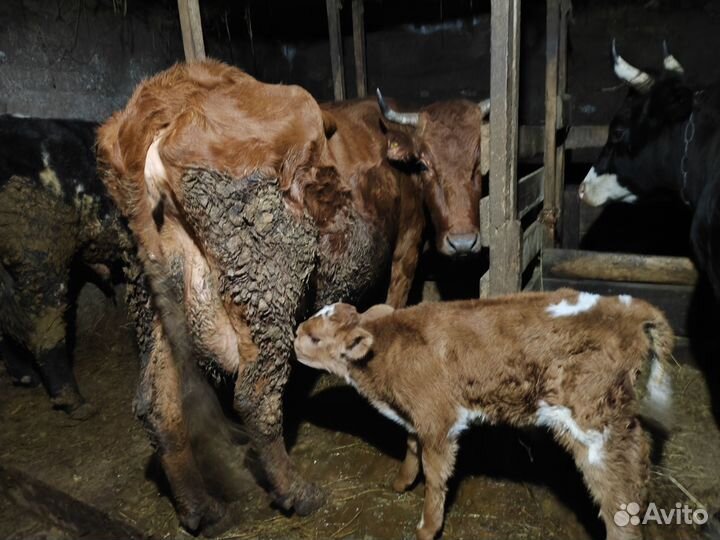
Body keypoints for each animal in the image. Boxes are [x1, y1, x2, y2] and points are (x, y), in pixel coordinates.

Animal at [96, 59, 490, 533]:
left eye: (477, 164)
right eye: (426, 164)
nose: (464, 242)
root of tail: (163, 101)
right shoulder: (406, 247)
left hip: (151, 297)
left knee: (158, 404)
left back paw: (201, 510)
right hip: (267, 284)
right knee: (255, 398)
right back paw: (297, 493)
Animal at [294, 291, 674, 540]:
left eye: (315, 338)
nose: (295, 333)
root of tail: (626, 306)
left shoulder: (438, 420)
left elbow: (435, 477)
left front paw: (426, 528)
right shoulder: (417, 416)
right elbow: (411, 446)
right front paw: (401, 483)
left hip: (592, 424)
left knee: (615, 488)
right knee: (638, 456)